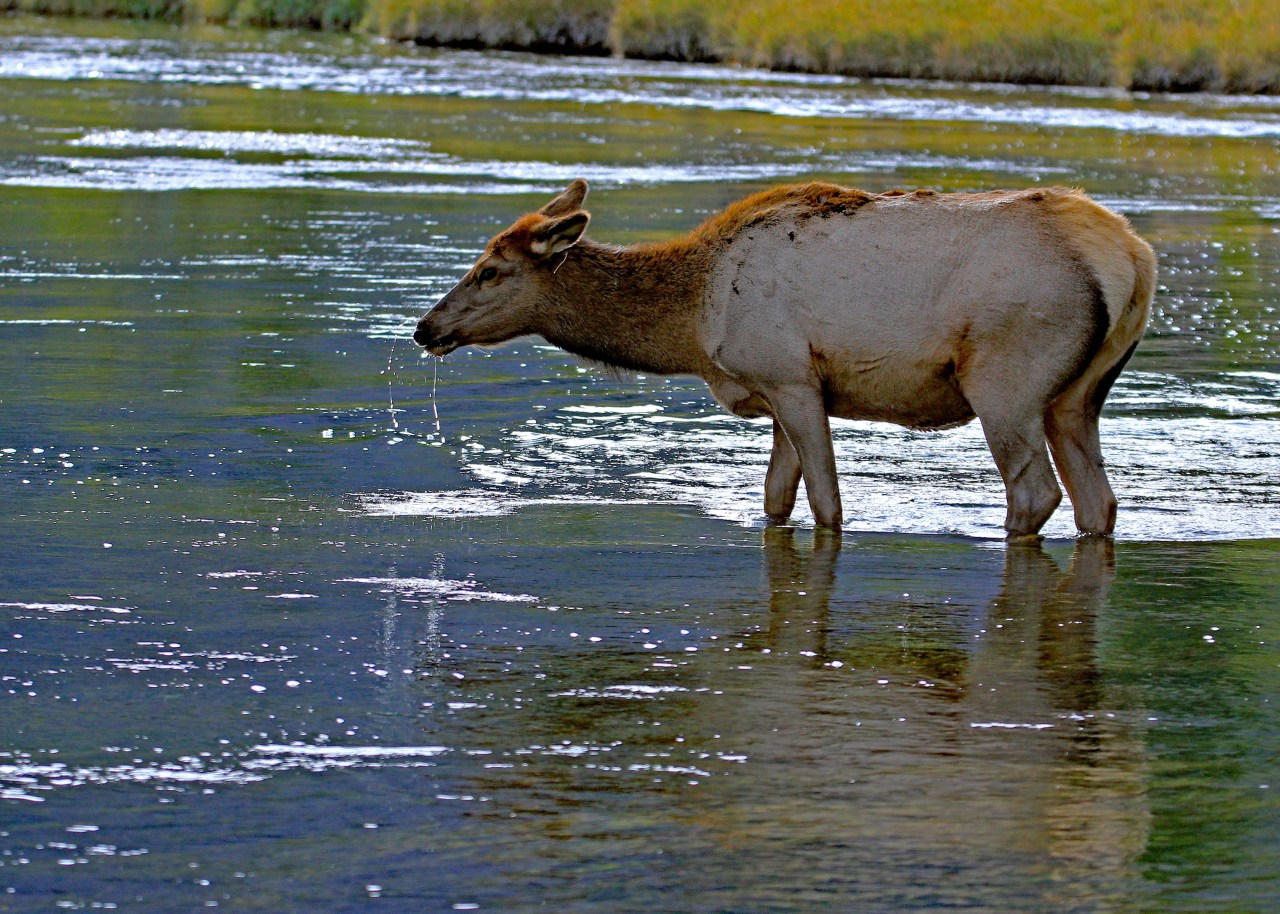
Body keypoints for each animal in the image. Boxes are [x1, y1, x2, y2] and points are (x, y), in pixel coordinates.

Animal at [413, 179, 1155, 539]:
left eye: (489, 270)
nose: (425, 328)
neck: (693, 320)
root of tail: (1132, 258)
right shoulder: (778, 393)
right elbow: (775, 497)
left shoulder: (791, 377)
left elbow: (827, 503)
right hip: (1079, 396)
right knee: (1098, 502)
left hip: (1006, 379)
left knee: (1035, 492)